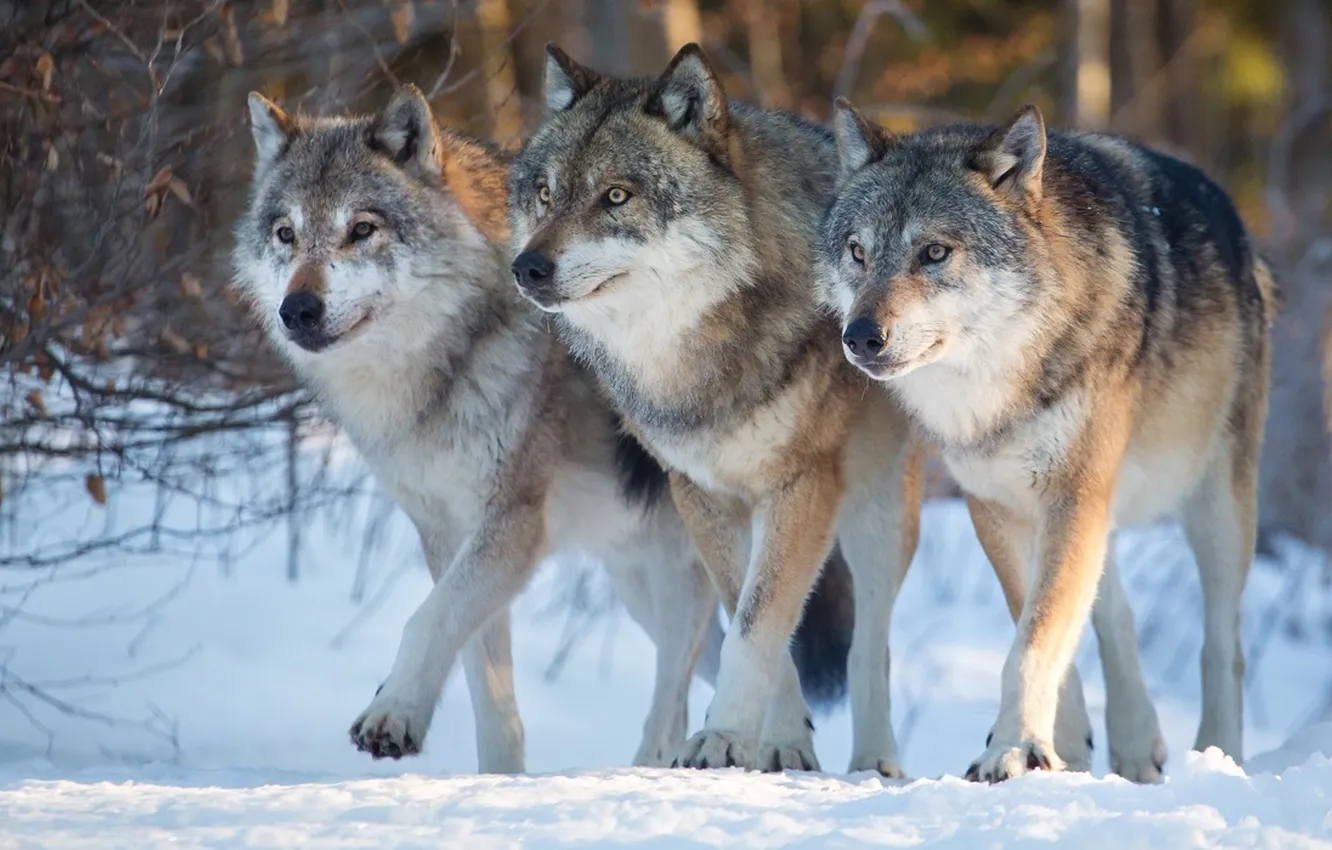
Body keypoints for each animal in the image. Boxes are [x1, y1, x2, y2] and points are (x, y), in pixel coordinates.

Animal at [231, 84, 862, 773]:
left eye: (361, 230)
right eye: (286, 234)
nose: (298, 309)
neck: (447, 360)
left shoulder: (513, 523)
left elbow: (425, 621)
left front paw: (391, 712)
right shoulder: (446, 534)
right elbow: (484, 683)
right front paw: (497, 776)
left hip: (680, 564)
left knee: (690, 669)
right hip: (638, 574)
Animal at [507, 43, 927, 776]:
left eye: (616, 195)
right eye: (546, 195)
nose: (527, 267)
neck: (697, 357)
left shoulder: (802, 485)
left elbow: (761, 622)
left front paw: (723, 736)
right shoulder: (700, 493)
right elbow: (753, 617)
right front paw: (772, 742)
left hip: (875, 511)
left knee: (871, 644)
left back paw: (876, 762)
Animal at [822, 99, 1275, 782]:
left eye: (934, 252)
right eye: (857, 251)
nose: (859, 336)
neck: (1000, 383)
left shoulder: (1071, 494)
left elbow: (1033, 640)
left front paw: (1012, 749)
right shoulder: (998, 505)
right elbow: (1035, 625)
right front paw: (1054, 744)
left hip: (1215, 508)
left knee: (1224, 646)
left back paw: (1218, 757)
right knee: (1115, 611)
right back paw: (1135, 741)